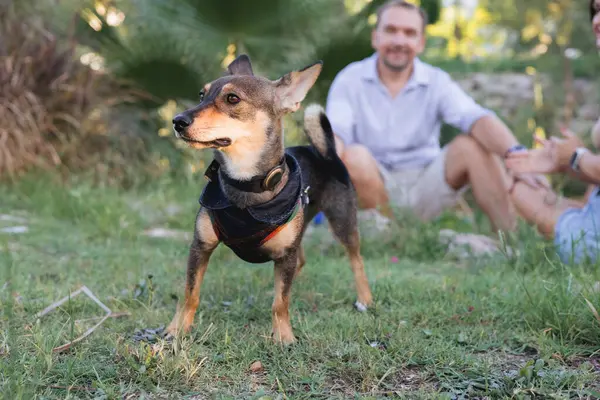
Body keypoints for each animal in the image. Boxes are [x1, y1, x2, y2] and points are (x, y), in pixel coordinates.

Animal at [164, 54, 370, 346]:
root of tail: (324, 152)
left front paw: (283, 336)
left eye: (232, 99)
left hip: (342, 222)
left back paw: (365, 299)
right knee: (301, 262)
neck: (245, 183)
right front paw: (177, 329)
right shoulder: (200, 246)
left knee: (356, 260)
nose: (177, 121)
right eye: (202, 95)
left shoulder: (286, 253)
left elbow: (280, 303)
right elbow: (189, 294)